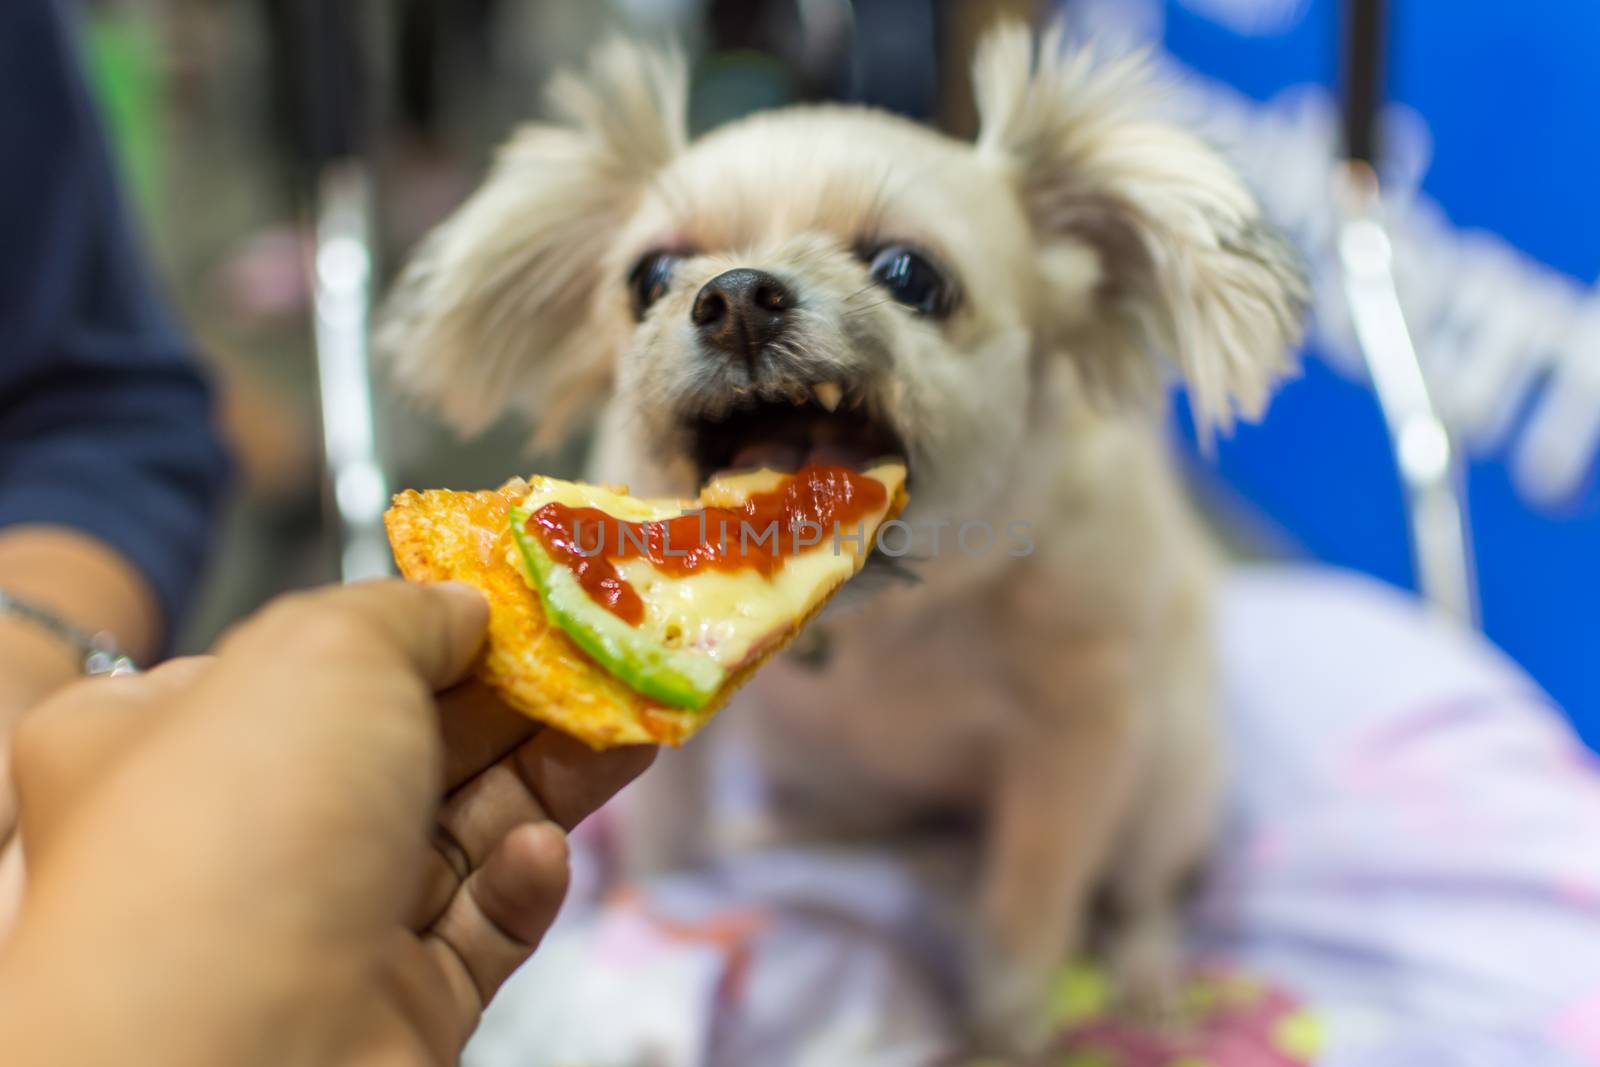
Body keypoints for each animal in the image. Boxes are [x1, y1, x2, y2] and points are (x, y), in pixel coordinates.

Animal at [380, 24, 1305, 1049]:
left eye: (911, 274)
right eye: (649, 278)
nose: (737, 295)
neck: (884, 624)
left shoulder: (1077, 738)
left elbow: (1029, 909)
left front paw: (1007, 1026)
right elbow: (668, 845)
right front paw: (662, 922)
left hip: (1168, 777)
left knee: (1146, 888)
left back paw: (1147, 972)